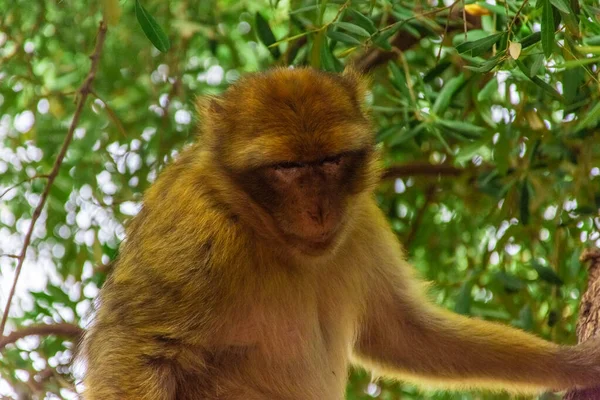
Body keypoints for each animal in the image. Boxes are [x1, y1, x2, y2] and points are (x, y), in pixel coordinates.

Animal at [82, 67, 600, 398]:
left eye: (330, 161)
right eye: (287, 168)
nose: (318, 210)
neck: (257, 225)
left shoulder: (361, 221)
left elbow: (403, 333)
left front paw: (571, 365)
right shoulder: (193, 230)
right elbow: (134, 350)